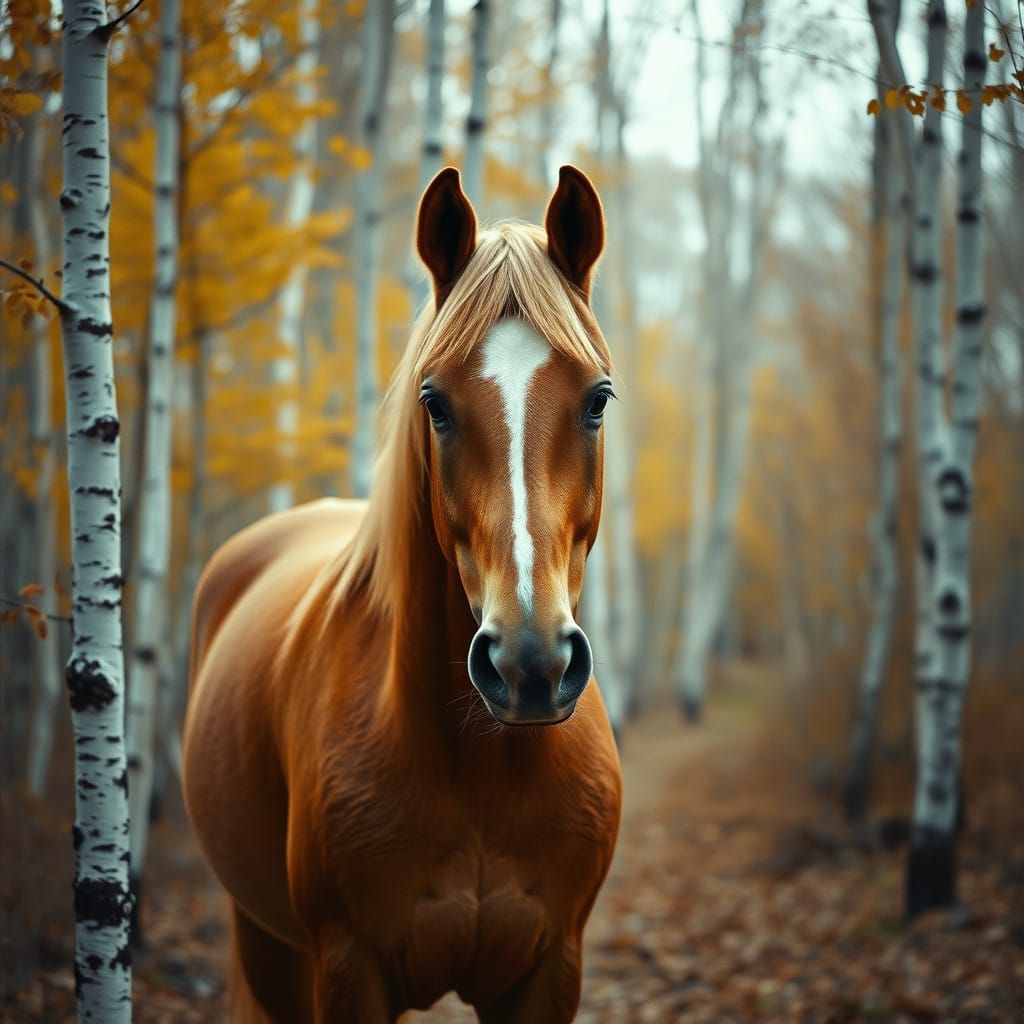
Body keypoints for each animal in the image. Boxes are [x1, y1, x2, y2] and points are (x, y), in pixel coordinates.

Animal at [182, 165, 623, 1023]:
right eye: (436, 404)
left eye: (597, 399)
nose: (530, 665)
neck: (481, 770)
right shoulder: (346, 968)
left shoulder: (552, 968)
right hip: (269, 946)